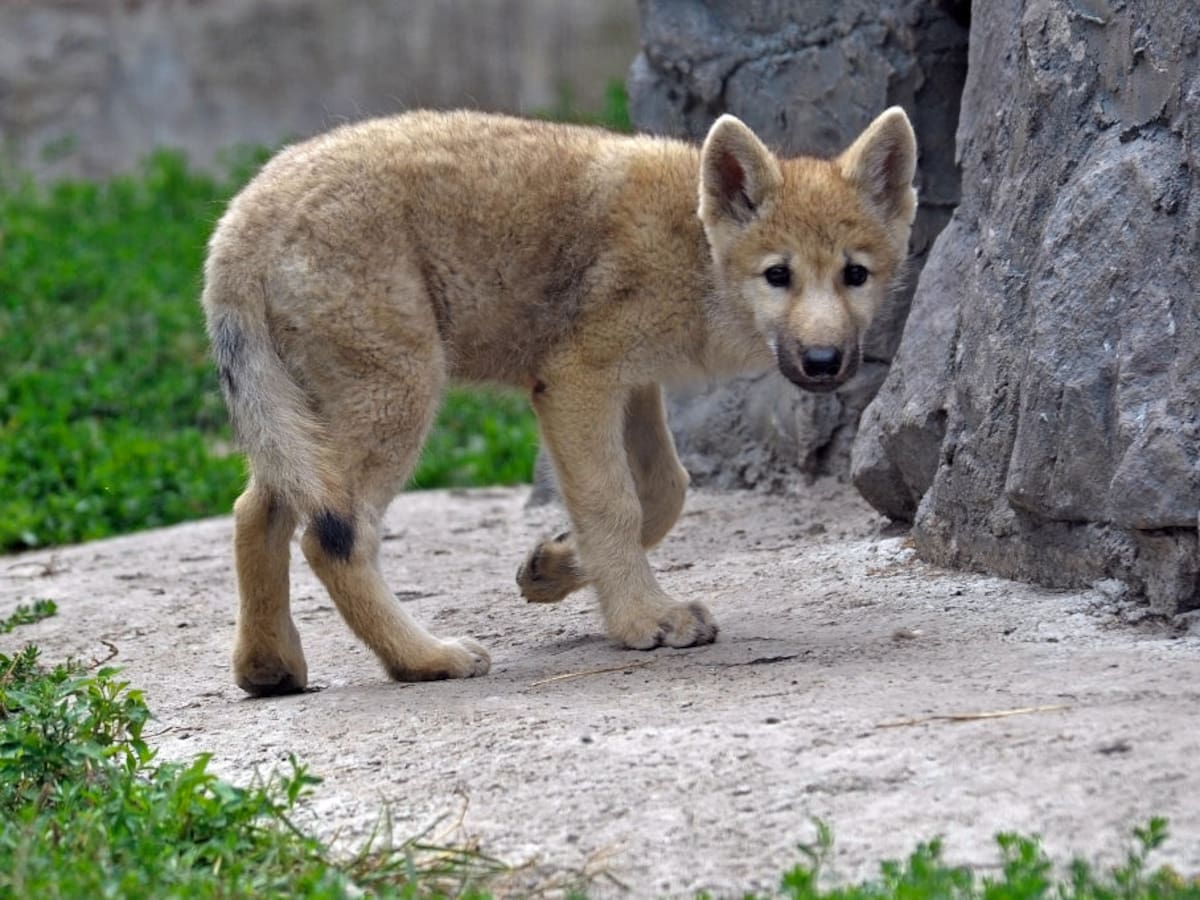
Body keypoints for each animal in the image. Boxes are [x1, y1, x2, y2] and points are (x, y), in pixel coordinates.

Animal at [201, 107, 917, 695]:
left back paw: (269, 667)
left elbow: (662, 494)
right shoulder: (578, 381)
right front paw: (644, 619)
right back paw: (426, 659)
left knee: (254, 512)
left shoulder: (632, 385)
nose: (823, 362)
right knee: (335, 540)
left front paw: (550, 567)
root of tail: (241, 218)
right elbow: (616, 505)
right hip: (397, 401)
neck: (691, 249)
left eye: (855, 275)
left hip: (310, 425)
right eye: (778, 275)